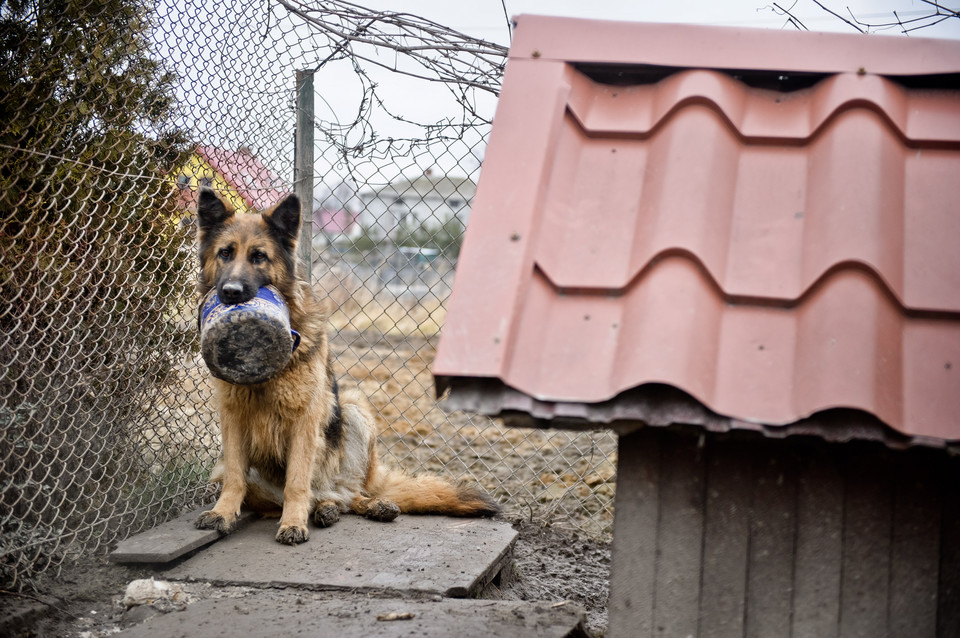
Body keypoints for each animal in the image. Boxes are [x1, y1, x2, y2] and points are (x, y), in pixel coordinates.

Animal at [192, 189, 498, 544]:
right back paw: (326, 510)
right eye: (225, 253)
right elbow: (235, 478)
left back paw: (366, 506)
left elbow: (297, 482)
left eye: (259, 257)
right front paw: (223, 513)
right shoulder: (232, 417)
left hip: (351, 408)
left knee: (347, 493)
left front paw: (292, 523)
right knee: (320, 497)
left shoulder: (305, 419)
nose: (231, 293)